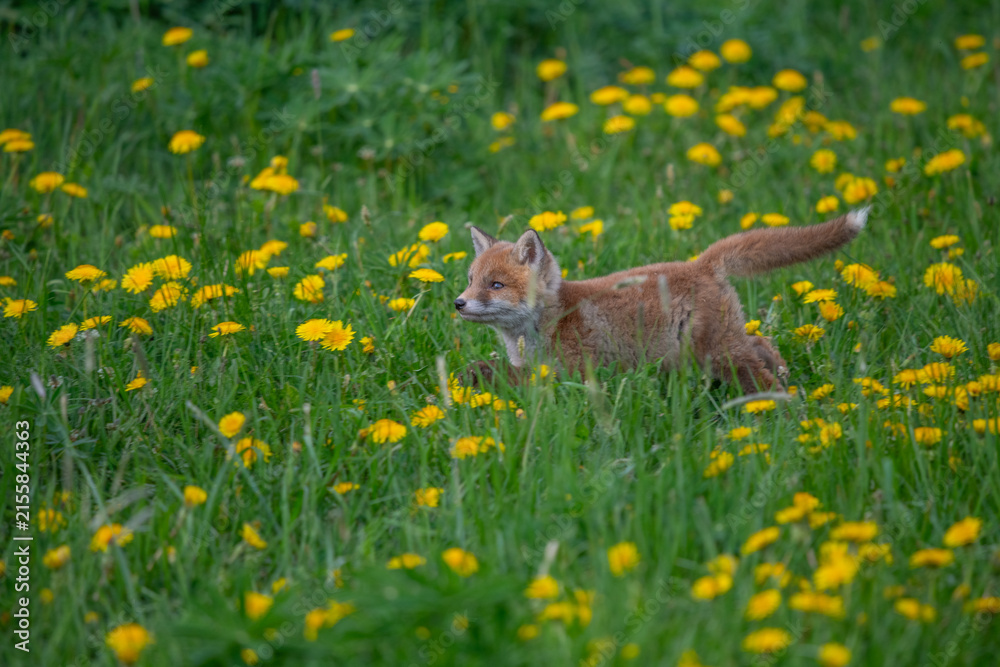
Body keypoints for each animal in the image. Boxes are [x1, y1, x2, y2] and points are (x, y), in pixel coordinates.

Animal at [454, 208, 869, 393]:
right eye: (471, 281)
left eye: (495, 285)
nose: (458, 303)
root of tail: (702, 263)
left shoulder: (571, 373)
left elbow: (507, 375)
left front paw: (473, 376)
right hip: (713, 347)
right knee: (762, 342)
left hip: (720, 354)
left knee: (762, 376)